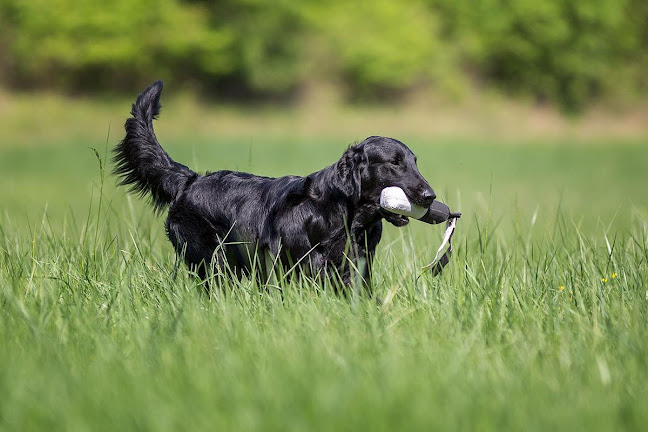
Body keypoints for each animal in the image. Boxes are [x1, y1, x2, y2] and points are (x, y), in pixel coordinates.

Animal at [112, 81, 436, 294]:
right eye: (394, 163)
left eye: (414, 162)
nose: (429, 196)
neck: (341, 215)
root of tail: (189, 180)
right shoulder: (299, 264)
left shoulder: (357, 265)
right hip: (212, 262)